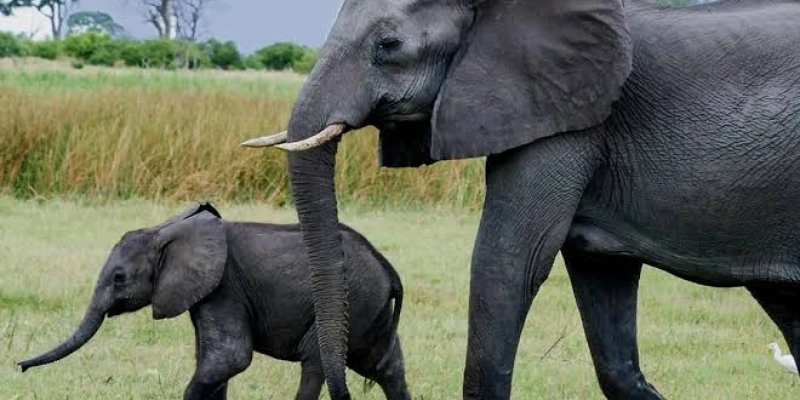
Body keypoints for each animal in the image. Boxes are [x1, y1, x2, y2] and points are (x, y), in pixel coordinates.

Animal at [17, 203, 410, 400]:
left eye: (119, 279)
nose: (19, 367)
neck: (168, 231)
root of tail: (387, 268)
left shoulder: (225, 286)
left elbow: (229, 358)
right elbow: (216, 363)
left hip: (351, 300)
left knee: (316, 361)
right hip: (369, 311)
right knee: (387, 367)